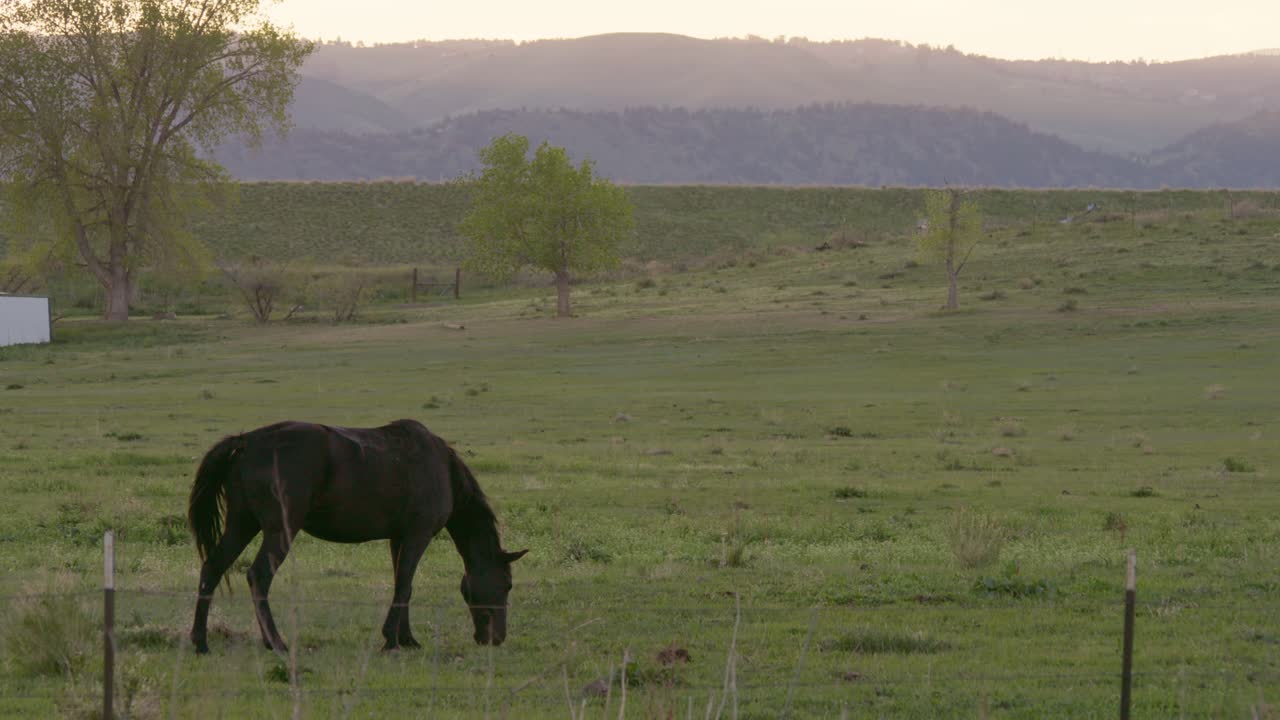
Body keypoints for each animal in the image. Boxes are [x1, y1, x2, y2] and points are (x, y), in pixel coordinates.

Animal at [186, 419, 527, 654]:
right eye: (507, 584)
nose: (496, 638)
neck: (441, 467)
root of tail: (246, 442)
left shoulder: (398, 538)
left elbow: (403, 584)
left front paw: (407, 638)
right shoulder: (418, 534)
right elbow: (405, 585)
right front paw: (391, 640)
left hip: (241, 525)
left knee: (212, 569)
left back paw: (201, 641)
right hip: (278, 531)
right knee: (258, 577)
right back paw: (277, 642)